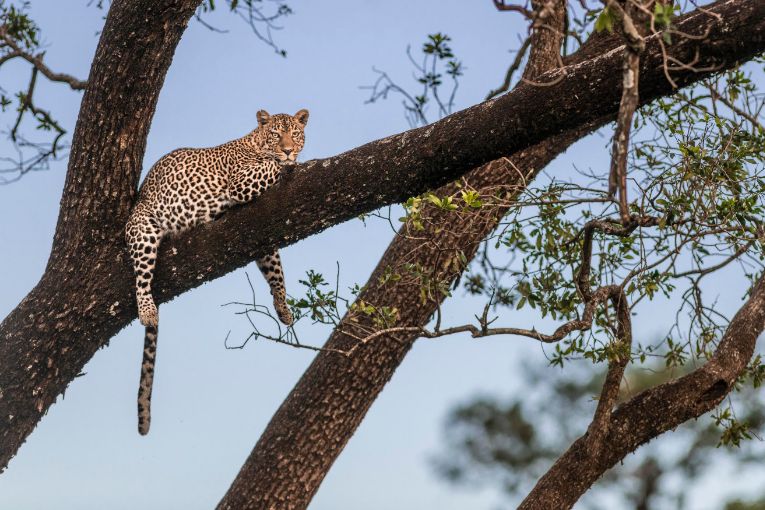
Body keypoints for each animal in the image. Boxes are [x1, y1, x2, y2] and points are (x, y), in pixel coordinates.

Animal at [125, 108, 308, 435]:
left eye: (295, 133)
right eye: (276, 134)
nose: (288, 149)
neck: (255, 142)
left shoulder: (262, 233)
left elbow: (275, 268)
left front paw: (283, 307)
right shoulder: (241, 181)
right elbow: (272, 167)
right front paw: (289, 163)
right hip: (143, 230)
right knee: (141, 277)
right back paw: (146, 309)